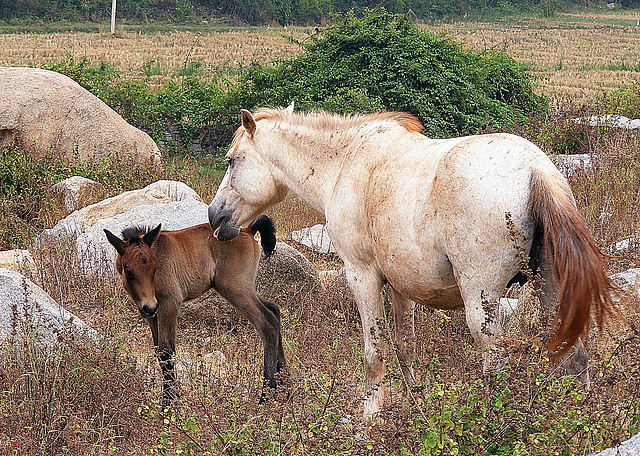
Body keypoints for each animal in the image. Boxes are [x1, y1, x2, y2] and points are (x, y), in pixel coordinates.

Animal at [210, 105, 620, 418]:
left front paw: (370, 414)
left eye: (232, 162)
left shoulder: (362, 276)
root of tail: (538, 171)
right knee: (575, 354)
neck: (345, 163)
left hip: (481, 301)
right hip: (550, 289)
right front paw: (414, 403)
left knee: (496, 359)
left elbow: (374, 352)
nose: (214, 216)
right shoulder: (401, 288)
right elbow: (404, 347)